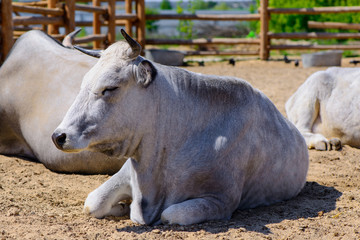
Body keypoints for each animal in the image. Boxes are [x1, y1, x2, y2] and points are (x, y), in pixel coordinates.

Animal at [52, 29, 310, 225]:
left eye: (111, 88)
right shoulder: (127, 172)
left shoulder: (221, 199)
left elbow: (171, 214)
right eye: (84, 83)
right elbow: (93, 203)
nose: (58, 136)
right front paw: (122, 207)